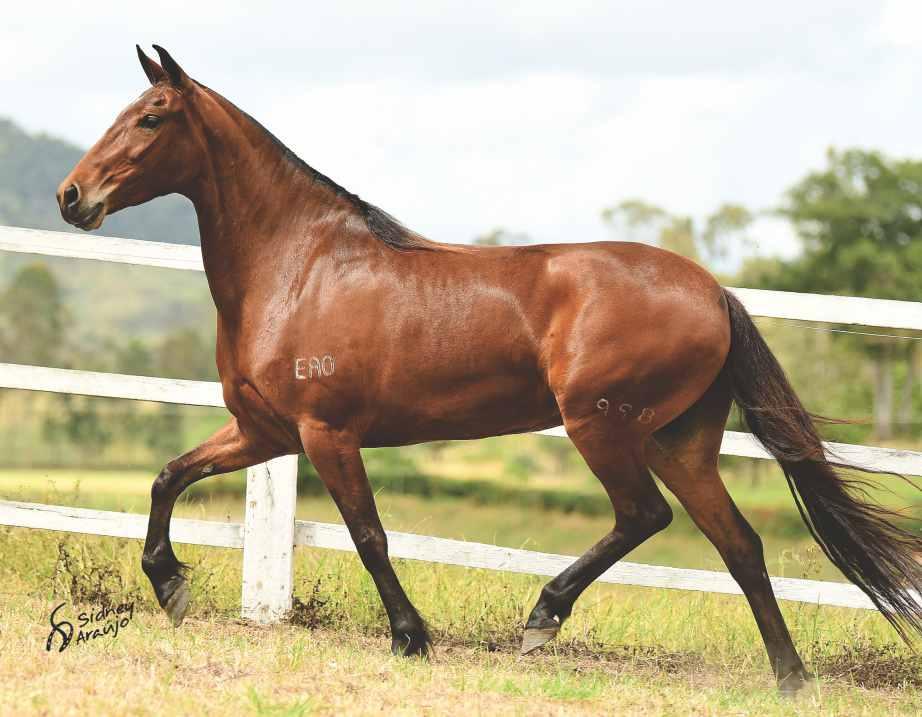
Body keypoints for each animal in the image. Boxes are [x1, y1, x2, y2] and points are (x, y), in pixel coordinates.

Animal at [59, 46, 920, 692]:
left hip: (602, 426)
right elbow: (167, 476)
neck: (299, 265)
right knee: (739, 543)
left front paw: (412, 636)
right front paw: (169, 584)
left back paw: (543, 617)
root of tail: (712, 291)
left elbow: (369, 533)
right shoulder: (263, 431)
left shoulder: (326, 433)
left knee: (645, 516)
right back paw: (790, 677)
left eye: (150, 117)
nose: (72, 196)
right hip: (681, 441)